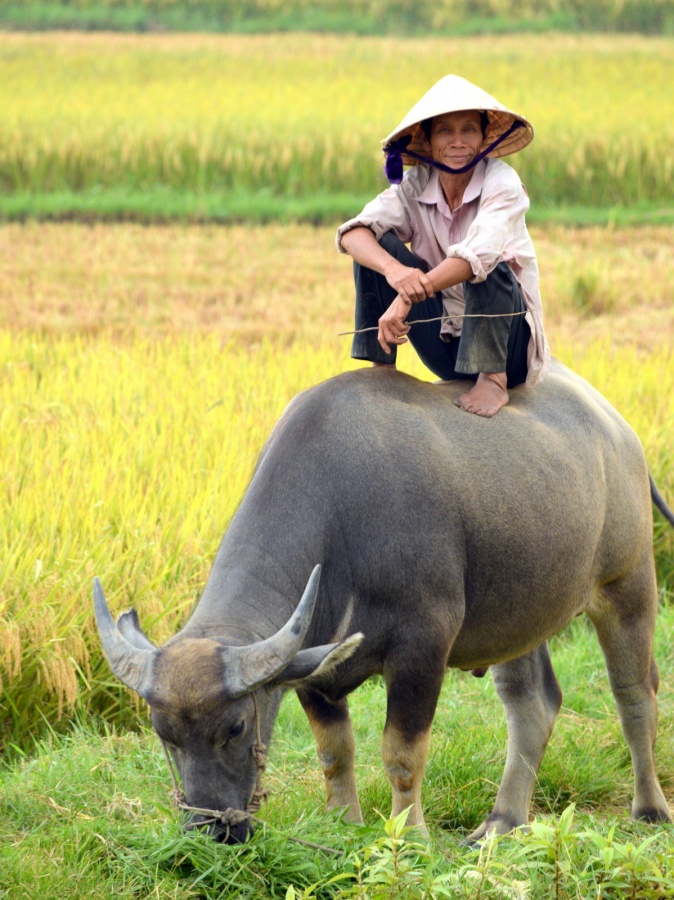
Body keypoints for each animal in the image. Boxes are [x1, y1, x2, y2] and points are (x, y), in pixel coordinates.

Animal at [92, 360, 668, 844]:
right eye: (162, 732)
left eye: (235, 726)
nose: (211, 830)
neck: (342, 514)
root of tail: (619, 431)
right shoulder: (315, 663)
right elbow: (334, 752)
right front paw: (343, 823)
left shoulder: (422, 649)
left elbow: (402, 754)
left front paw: (409, 836)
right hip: (518, 617)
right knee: (533, 704)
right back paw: (502, 821)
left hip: (629, 584)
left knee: (635, 694)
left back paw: (650, 808)